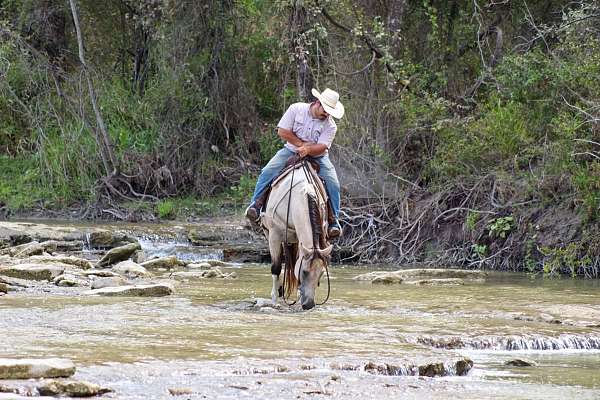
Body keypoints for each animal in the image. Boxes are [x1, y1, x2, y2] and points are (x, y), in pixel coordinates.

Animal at [258, 158, 332, 310]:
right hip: (270, 234)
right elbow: (276, 267)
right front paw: (274, 300)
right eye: (304, 271)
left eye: (321, 273)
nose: (309, 305)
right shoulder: (274, 236)